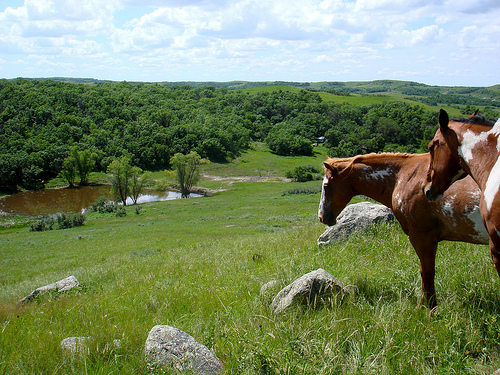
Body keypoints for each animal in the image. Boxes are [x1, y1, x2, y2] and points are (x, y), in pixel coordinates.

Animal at [318, 153, 486, 308]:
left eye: (326, 187)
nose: (321, 217)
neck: (404, 177)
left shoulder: (422, 236)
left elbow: (427, 272)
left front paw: (429, 307)